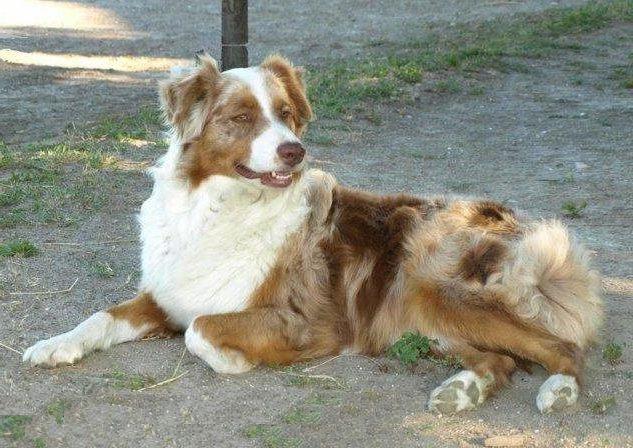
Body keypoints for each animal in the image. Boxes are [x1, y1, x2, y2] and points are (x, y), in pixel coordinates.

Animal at [22, 54, 600, 414]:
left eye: (285, 115)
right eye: (241, 117)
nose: (293, 150)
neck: (215, 208)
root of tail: (512, 220)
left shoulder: (309, 322)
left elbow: (200, 330)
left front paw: (233, 359)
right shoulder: (164, 295)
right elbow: (101, 317)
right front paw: (54, 345)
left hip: (433, 286)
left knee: (565, 348)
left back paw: (560, 391)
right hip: (422, 313)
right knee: (501, 361)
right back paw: (460, 392)